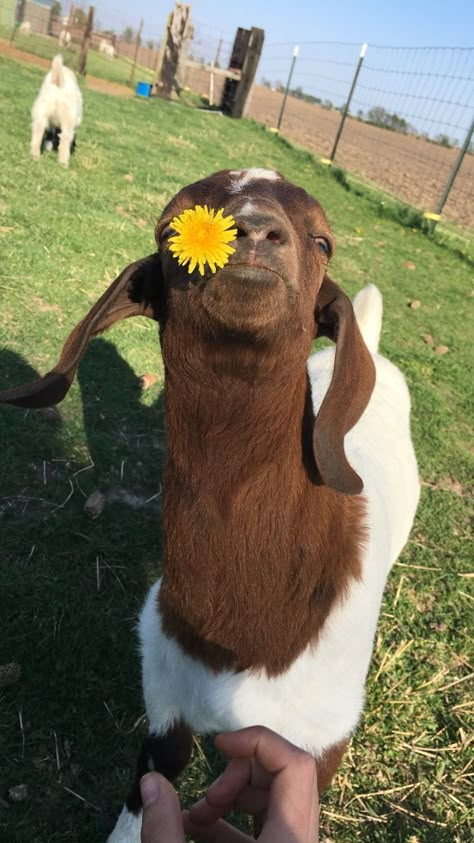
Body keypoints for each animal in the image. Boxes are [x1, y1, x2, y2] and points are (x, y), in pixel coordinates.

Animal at [0, 168, 420, 840]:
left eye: (323, 241)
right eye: (170, 225)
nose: (254, 231)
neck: (243, 637)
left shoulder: (319, 739)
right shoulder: (166, 694)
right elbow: (151, 784)